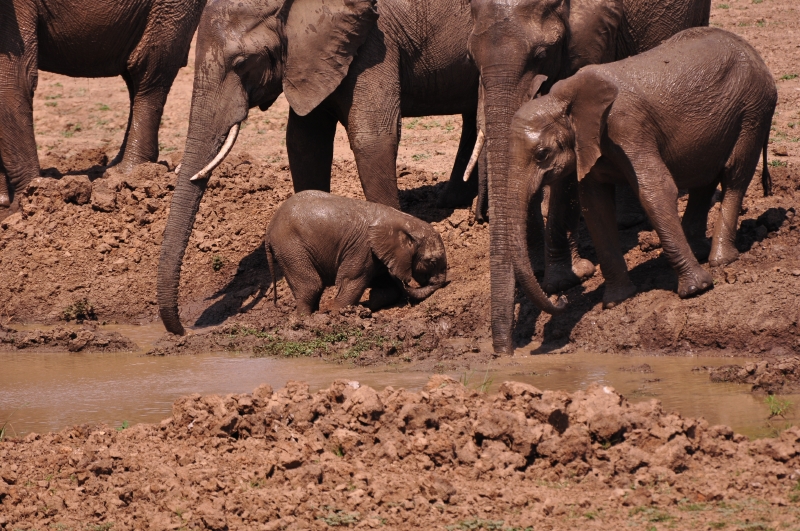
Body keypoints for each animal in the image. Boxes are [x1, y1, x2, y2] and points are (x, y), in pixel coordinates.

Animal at [0, 0, 207, 210]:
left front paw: (24, 206)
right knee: (133, 78)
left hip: (169, 9)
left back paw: (126, 173)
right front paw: (5, 201)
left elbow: (12, 82)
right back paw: (111, 171)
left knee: (147, 70)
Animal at [265, 190, 448, 314]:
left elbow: (386, 287)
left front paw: (364, 308)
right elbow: (350, 282)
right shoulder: (363, 248)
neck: (404, 220)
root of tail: (270, 227)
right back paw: (306, 321)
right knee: (312, 285)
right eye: (431, 261)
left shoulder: (377, 254)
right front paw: (337, 313)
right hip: (290, 247)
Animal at [466, 0, 712, 353]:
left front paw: (564, 280)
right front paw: (551, 275)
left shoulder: (591, 36)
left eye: (541, 54)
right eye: (471, 58)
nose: (505, 352)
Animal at [507, 28, 776, 312]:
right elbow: (596, 207)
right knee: (705, 179)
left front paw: (696, 289)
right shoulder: (589, 145)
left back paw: (721, 260)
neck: (563, 98)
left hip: (754, 108)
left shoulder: (628, 128)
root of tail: (753, 52)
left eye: (542, 154)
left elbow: (656, 191)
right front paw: (616, 300)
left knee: (734, 175)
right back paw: (700, 252)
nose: (561, 299)